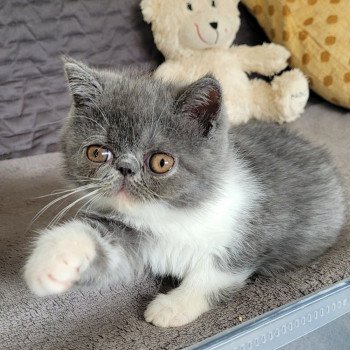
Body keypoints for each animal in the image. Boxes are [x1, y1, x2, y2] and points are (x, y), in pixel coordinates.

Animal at [23, 58, 346, 328]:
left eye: (161, 162)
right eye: (97, 153)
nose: (125, 168)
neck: (174, 215)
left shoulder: (255, 228)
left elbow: (217, 270)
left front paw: (173, 306)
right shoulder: (133, 230)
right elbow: (107, 246)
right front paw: (51, 261)